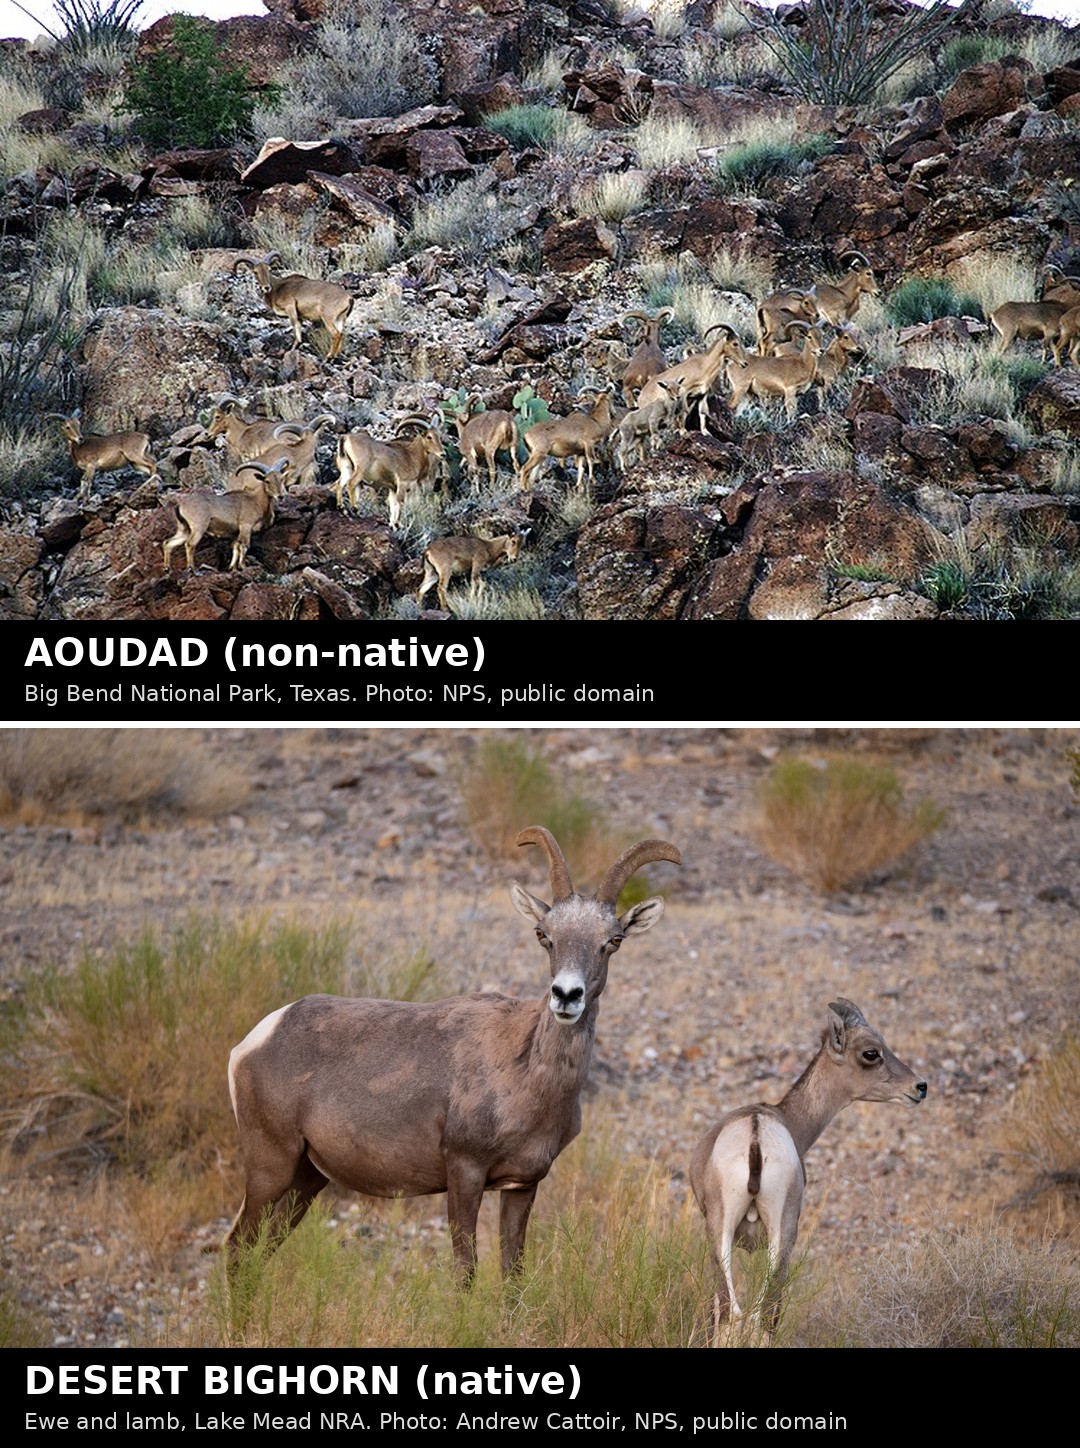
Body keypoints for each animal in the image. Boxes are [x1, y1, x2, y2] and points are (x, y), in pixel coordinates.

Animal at [224, 827, 681, 1285]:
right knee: (235, 1248)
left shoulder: (522, 1186)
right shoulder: (464, 1172)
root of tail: (256, 1039)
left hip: (307, 1177)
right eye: (544, 934)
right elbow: (466, 1272)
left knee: (258, 1251)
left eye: (614, 940)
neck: (527, 1078)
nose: (566, 995)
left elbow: (512, 1275)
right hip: (272, 1165)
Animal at [690, 997, 926, 1345]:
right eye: (872, 1052)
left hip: (735, 1236)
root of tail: (755, 1135)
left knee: (740, 1311)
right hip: (776, 1238)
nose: (920, 1087)